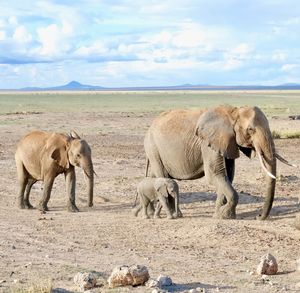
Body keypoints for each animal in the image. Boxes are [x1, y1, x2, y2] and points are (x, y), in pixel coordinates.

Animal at [144, 105, 294, 219]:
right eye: (250, 129)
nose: (258, 217)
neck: (234, 112)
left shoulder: (228, 143)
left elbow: (227, 175)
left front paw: (219, 215)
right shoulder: (207, 143)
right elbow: (215, 174)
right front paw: (225, 215)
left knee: (155, 177)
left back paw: (154, 214)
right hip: (153, 148)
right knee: (162, 175)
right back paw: (168, 216)